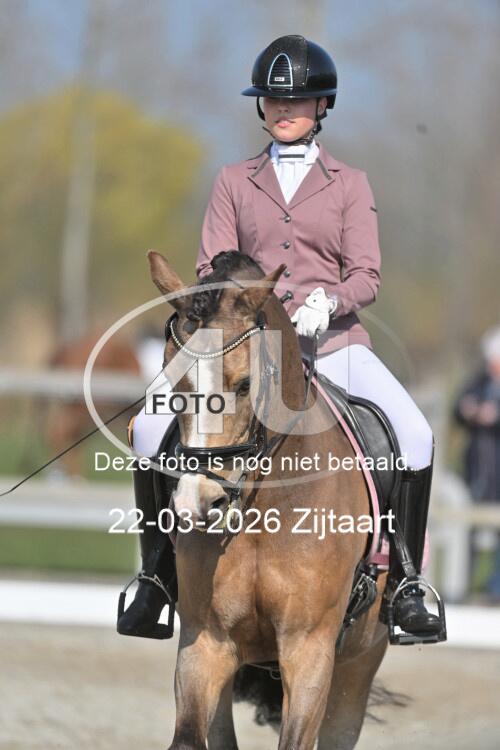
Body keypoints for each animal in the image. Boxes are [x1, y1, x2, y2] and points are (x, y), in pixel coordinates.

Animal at [148, 249, 389, 750]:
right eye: (173, 388)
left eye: (243, 384)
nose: (199, 505)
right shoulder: (206, 642)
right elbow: (189, 738)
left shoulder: (309, 648)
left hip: (358, 667)